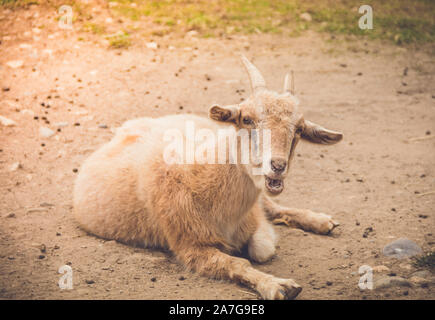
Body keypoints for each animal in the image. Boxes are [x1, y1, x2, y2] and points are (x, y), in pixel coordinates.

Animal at [74, 57, 344, 300]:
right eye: (247, 119)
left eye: (299, 129)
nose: (277, 166)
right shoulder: (190, 245)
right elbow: (239, 262)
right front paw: (277, 286)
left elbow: (261, 249)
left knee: (273, 206)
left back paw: (321, 221)